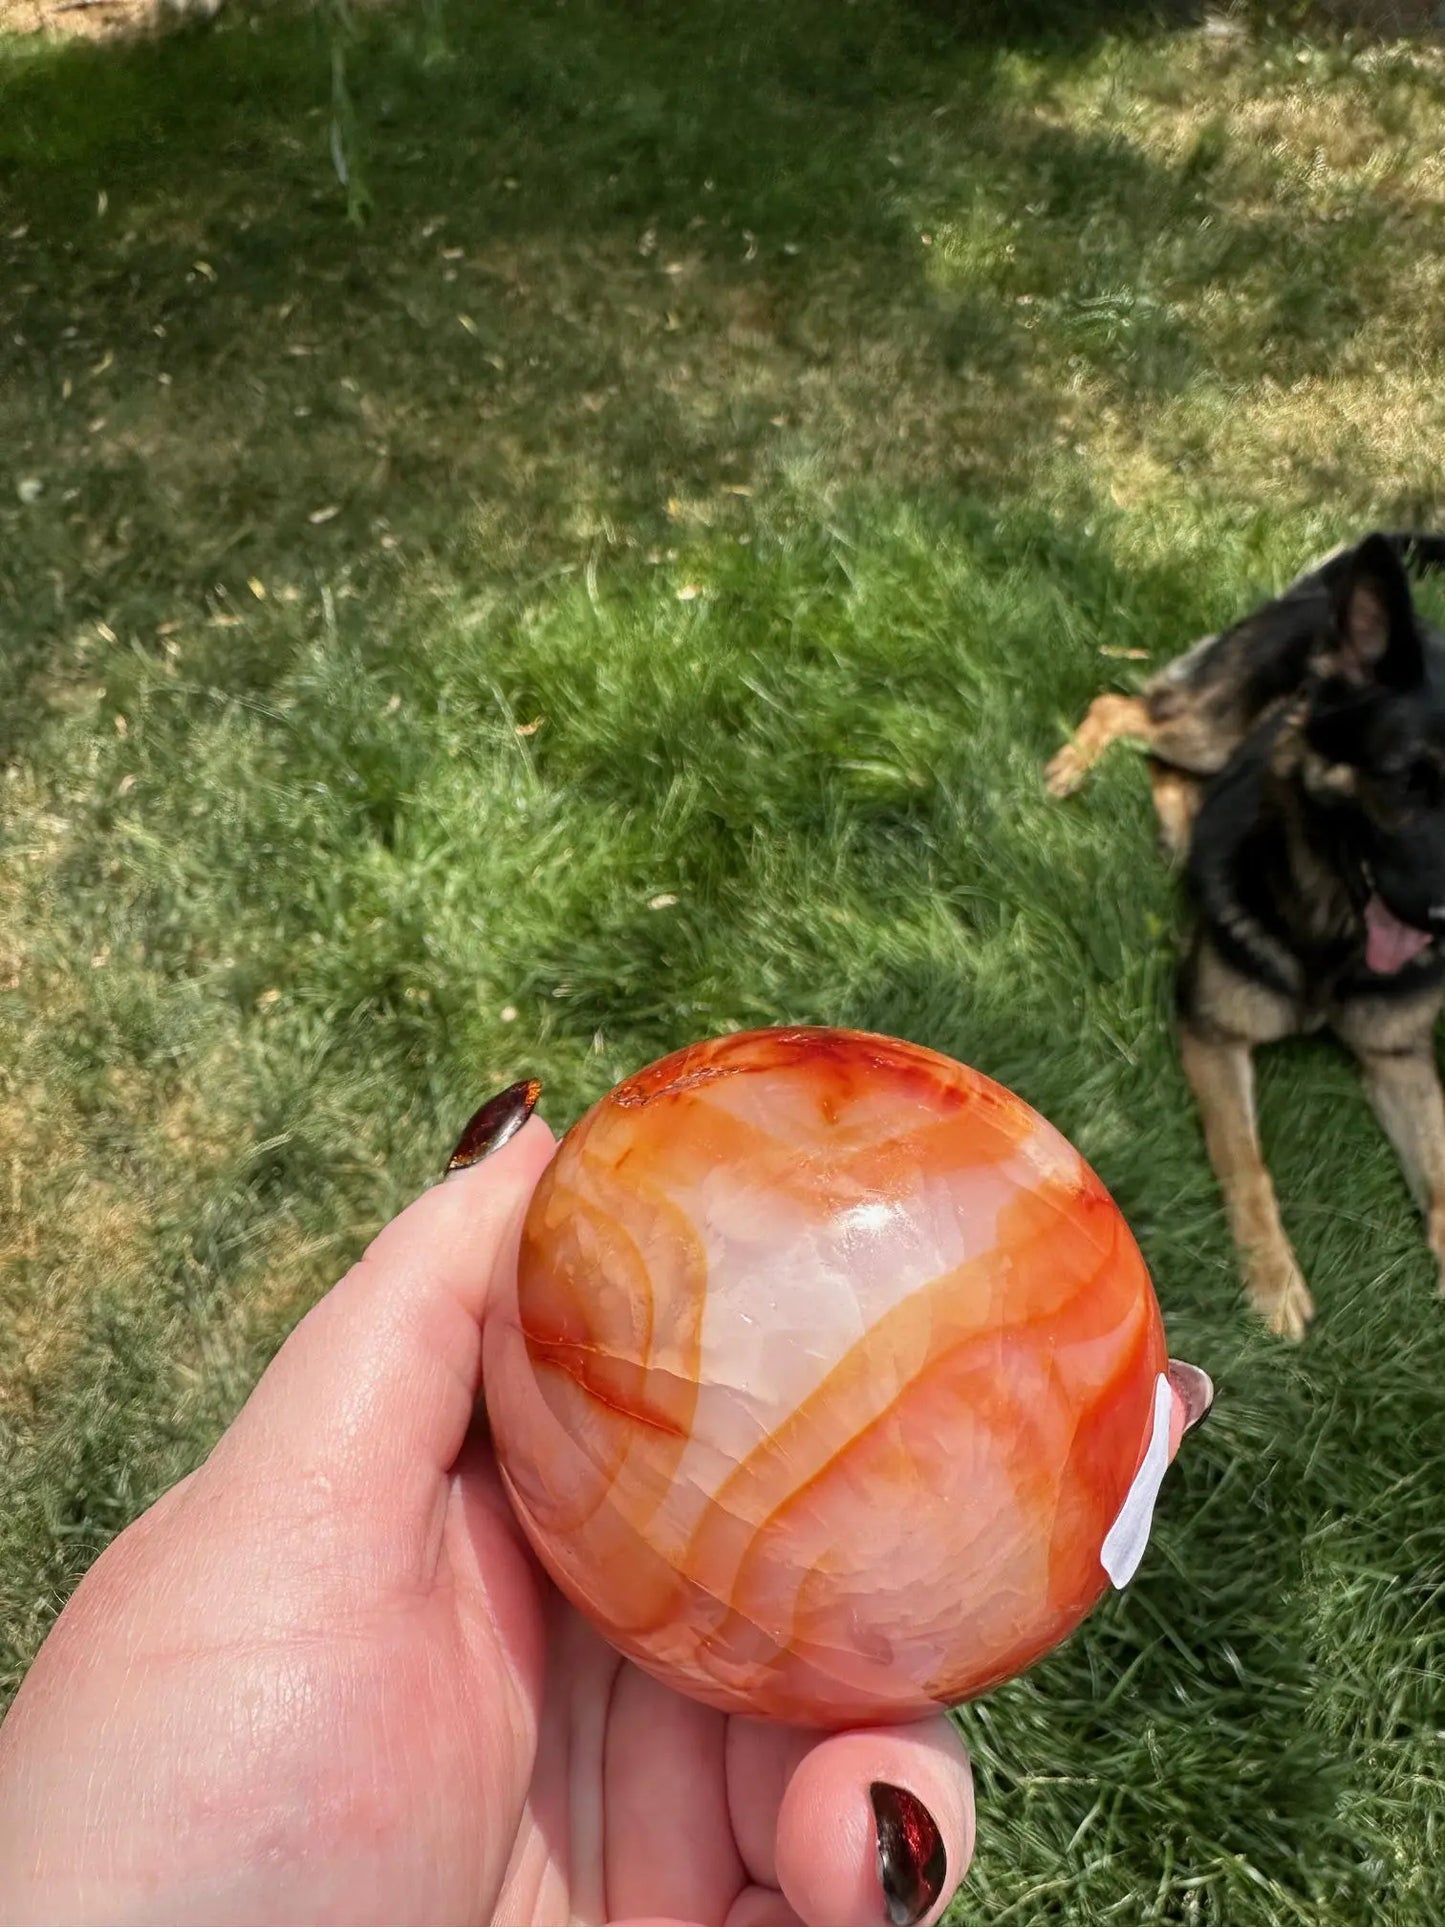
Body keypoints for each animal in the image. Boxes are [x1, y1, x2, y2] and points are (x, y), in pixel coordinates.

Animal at [1048, 531, 1445, 1341]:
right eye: (1400, 780)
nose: (1441, 920)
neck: (1332, 932)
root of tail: (1322, 591)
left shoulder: (1398, 1060)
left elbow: (1444, 1182)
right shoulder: (1213, 1033)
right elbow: (1247, 1162)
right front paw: (1273, 1280)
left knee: (1167, 767)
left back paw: (1180, 830)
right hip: (1210, 727)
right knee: (1122, 709)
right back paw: (1071, 766)